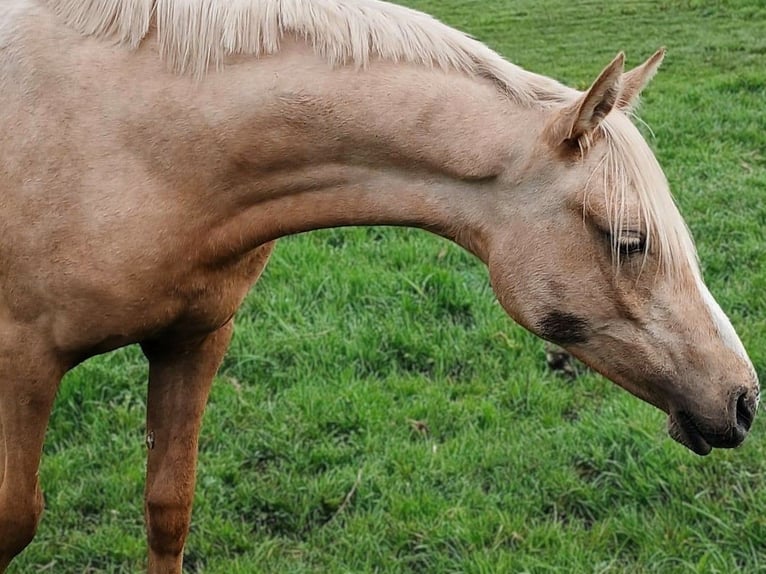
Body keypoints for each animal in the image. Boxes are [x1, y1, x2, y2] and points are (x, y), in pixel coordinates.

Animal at [0, 0, 759, 571]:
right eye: (629, 240)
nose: (745, 400)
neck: (146, 145)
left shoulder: (195, 339)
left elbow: (168, 508)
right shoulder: (24, 363)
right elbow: (16, 518)